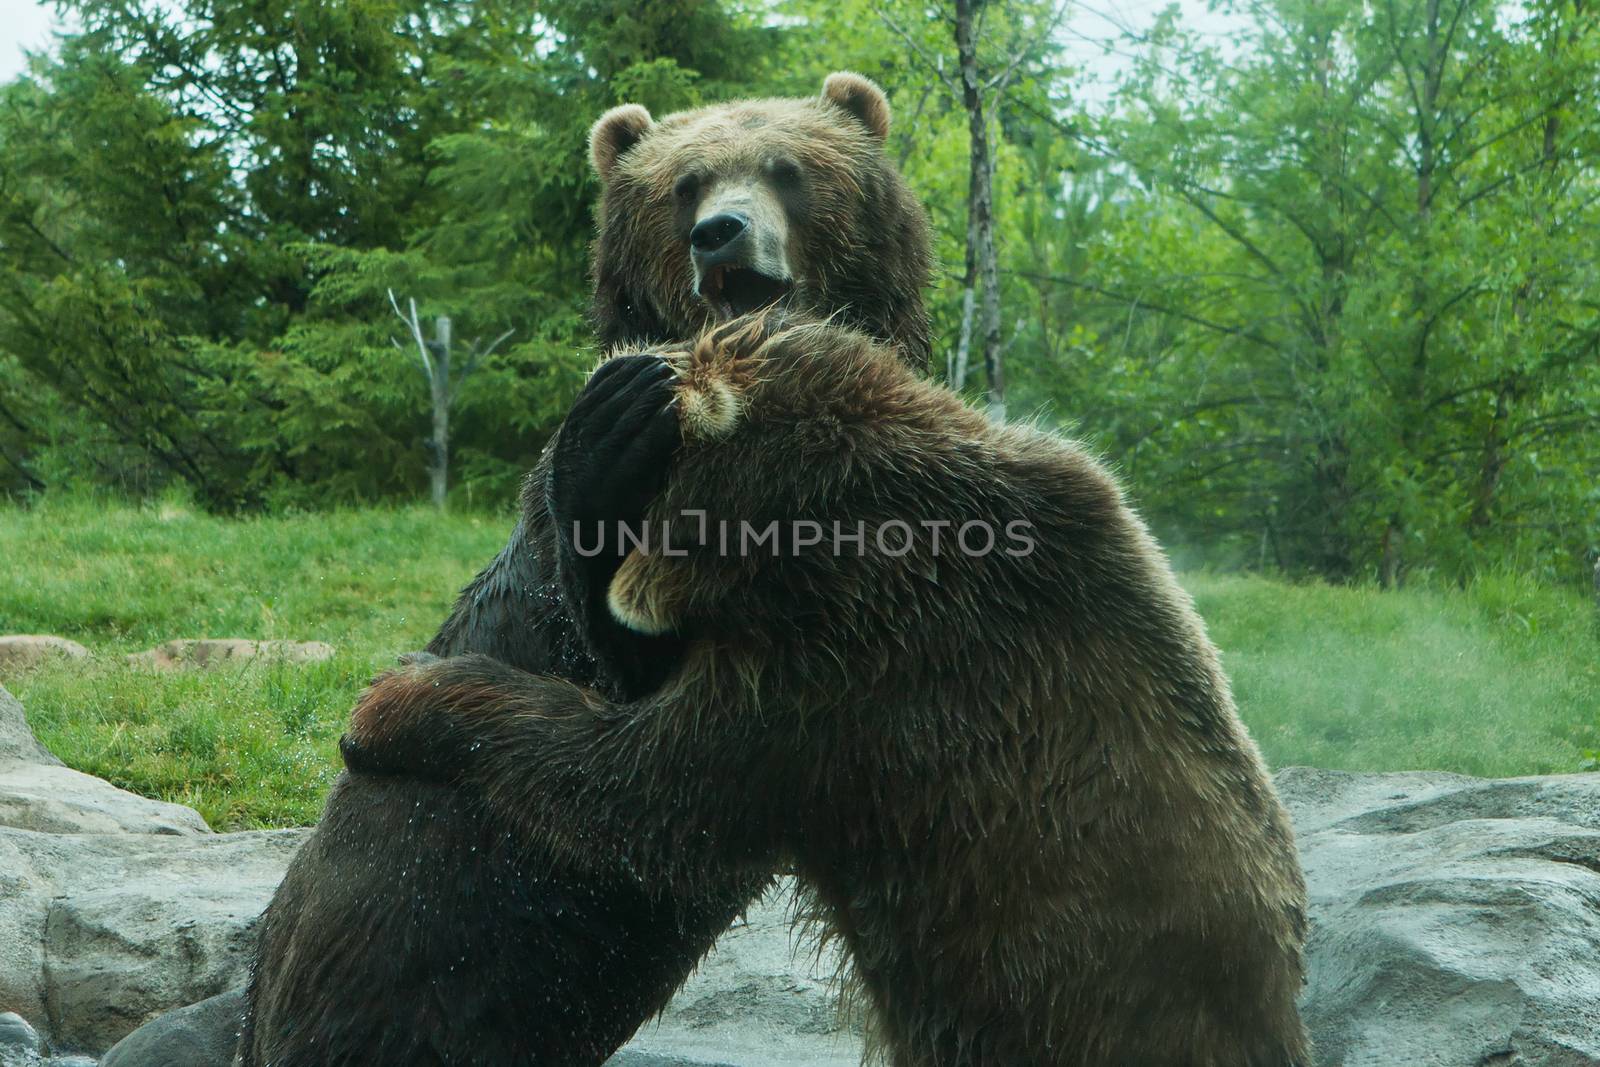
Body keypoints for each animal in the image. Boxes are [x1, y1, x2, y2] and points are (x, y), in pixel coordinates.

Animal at [344, 83, 1305, 1067]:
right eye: (683, 186)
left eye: (788, 172)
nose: (719, 233)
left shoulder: (855, 666)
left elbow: (640, 787)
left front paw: (395, 700)